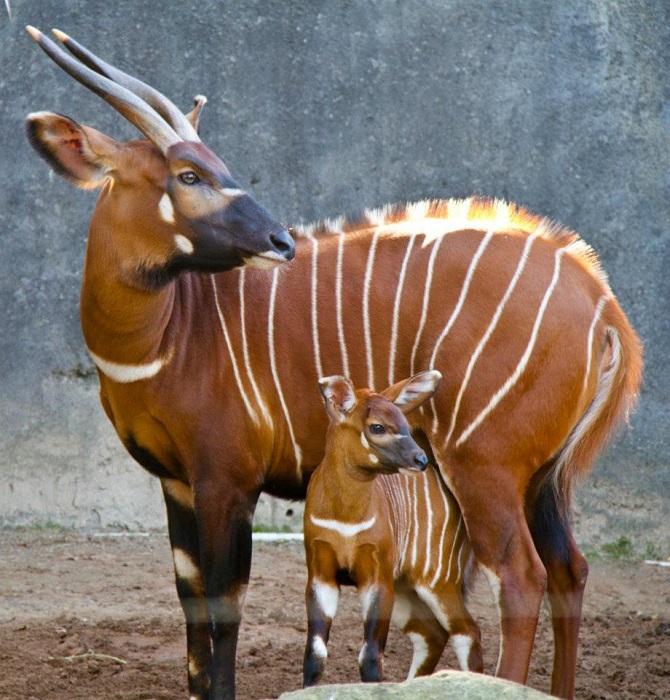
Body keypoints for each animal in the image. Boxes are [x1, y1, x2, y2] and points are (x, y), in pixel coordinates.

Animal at [304, 372, 484, 684]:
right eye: (377, 427)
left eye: (404, 423)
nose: (420, 459)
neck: (345, 517)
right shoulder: (321, 571)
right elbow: (316, 655)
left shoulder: (376, 577)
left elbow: (370, 656)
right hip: (404, 588)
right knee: (433, 634)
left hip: (438, 580)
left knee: (466, 632)